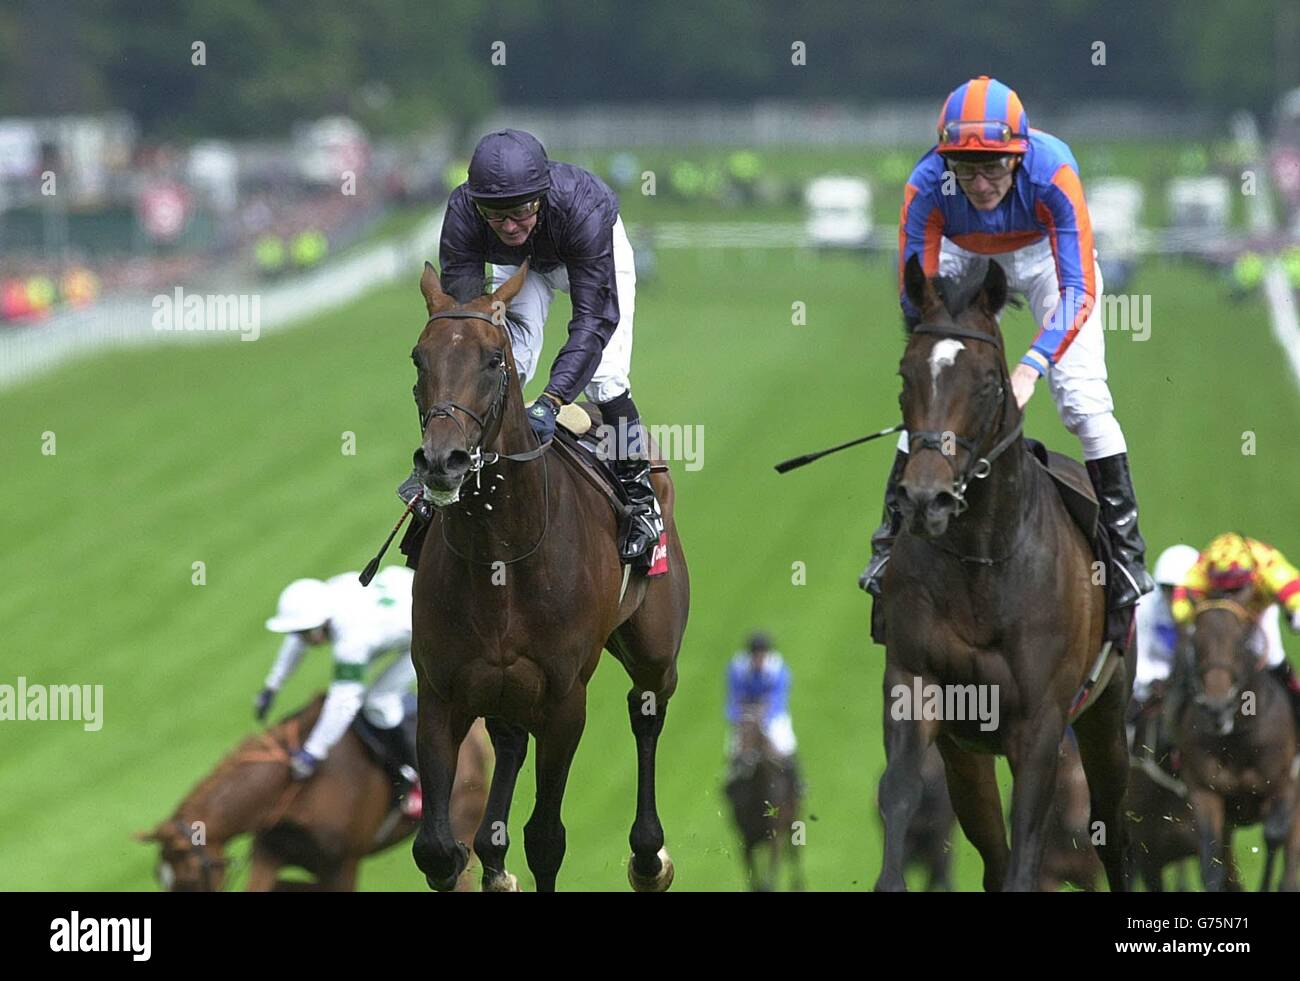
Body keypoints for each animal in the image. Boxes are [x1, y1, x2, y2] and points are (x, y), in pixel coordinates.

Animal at [134, 696, 488, 893]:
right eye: (161, 878)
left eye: (189, 879)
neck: (296, 792)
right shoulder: (272, 852)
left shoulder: (342, 865)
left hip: (460, 821)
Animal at [405, 265, 691, 893]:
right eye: (419, 357)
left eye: (494, 359)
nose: (442, 461)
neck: (501, 560)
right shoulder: (440, 690)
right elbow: (435, 848)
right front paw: (475, 858)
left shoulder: (564, 701)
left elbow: (546, 839)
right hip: (504, 689)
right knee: (511, 739)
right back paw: (493, 858)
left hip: (654, 644)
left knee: (647, 707)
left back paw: (649, 854)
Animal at [722, 706, 800, 888]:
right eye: (738, 731)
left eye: (757, 732)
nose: (743, 761)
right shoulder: (746, 842)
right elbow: (756, 883)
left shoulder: (775, 841)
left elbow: (769, 882)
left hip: (793, 822)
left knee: (795, 857)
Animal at [873, 257, 1138, 893]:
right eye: (906, 375)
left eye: (989, 383)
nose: (925, 499)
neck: (983, 564)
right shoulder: (917, 685)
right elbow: (900, 793)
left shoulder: (1041, 725)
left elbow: (1031, 843)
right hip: (966, 750)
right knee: (991, 849)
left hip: (1107, 712)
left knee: (1112, 828)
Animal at [1180, 595, 1300, 893]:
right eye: (1196, 642)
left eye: (1240, 642)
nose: (1216, 706)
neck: (1238, 740)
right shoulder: (1204, 791)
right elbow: (1211, 863)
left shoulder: (1284, 785)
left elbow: (1273, 836)